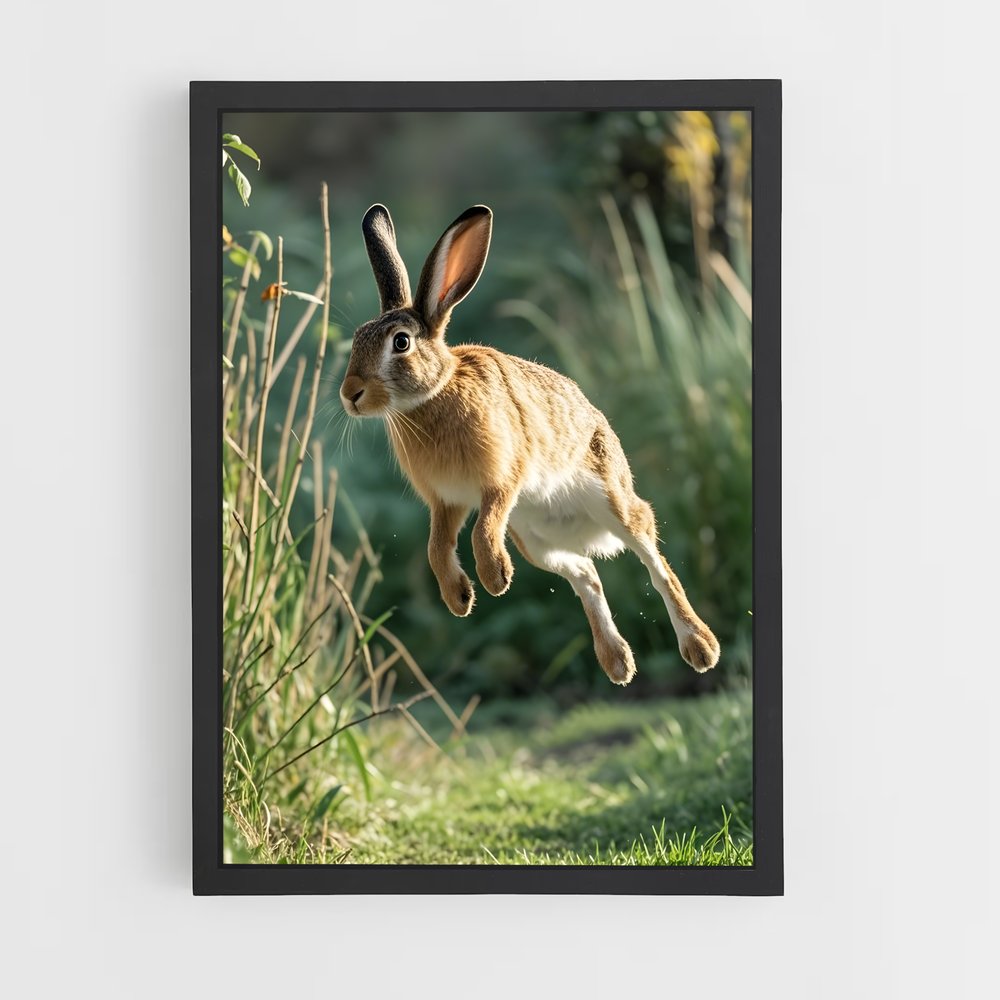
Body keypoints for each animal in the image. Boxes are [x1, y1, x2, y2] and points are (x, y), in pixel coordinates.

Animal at [340, 204, 720, 685]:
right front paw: (459, 599)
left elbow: (482, 530)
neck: (435, 394)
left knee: (655, 563)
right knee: (587, 573)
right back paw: (617, 662)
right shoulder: (446, 502)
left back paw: (701, 648)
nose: (350, 394)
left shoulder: (503, 480)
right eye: (356, 339)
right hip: (536, 542)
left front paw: (494, 578)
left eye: (401, 343)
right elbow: (435, 549)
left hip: (610, 502)